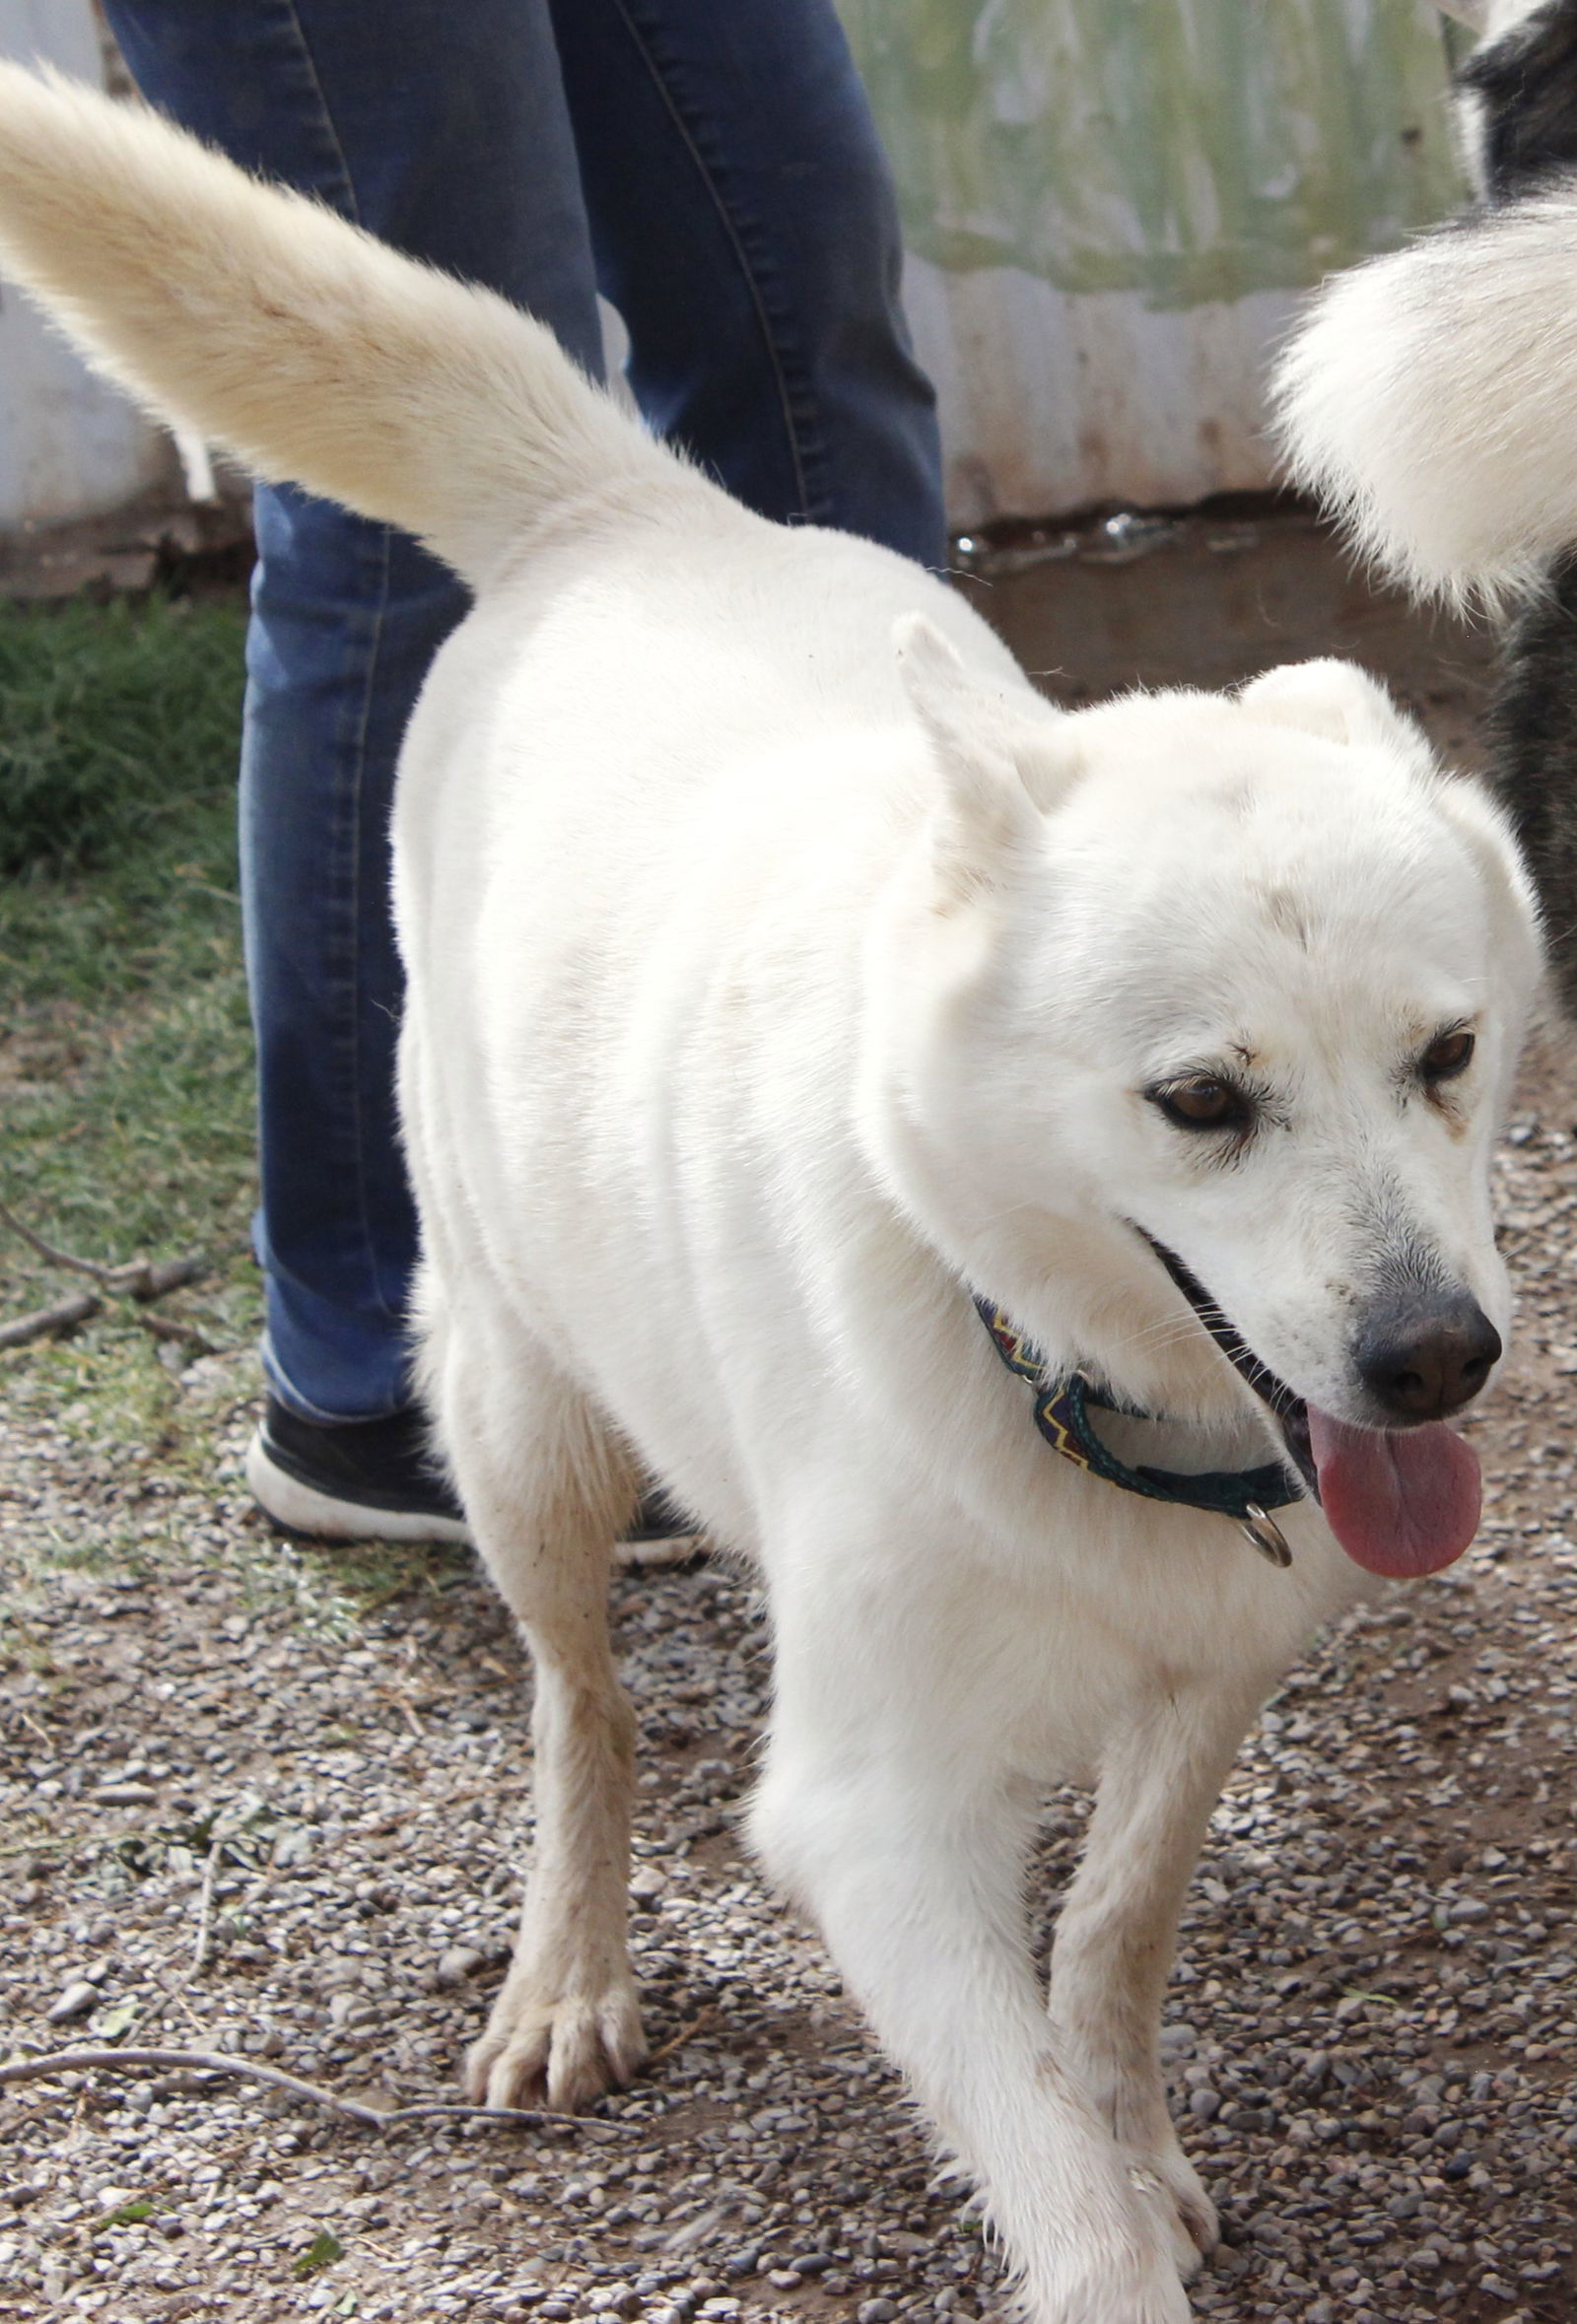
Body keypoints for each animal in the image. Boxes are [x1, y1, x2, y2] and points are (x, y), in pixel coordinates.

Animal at [0, 63, 1542, 2314]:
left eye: (1446, 1056)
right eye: (1196, 1102)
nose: (1436, 1364)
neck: (1049, 1370)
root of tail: (623, 509)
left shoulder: (1210, 1679)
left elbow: (1113, 1932)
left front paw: (1134, 2123)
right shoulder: (873, 1817)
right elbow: (1062, 2198)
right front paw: (1101, 2200)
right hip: (519, 1418)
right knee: (580, 1713)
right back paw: (566, 1968)